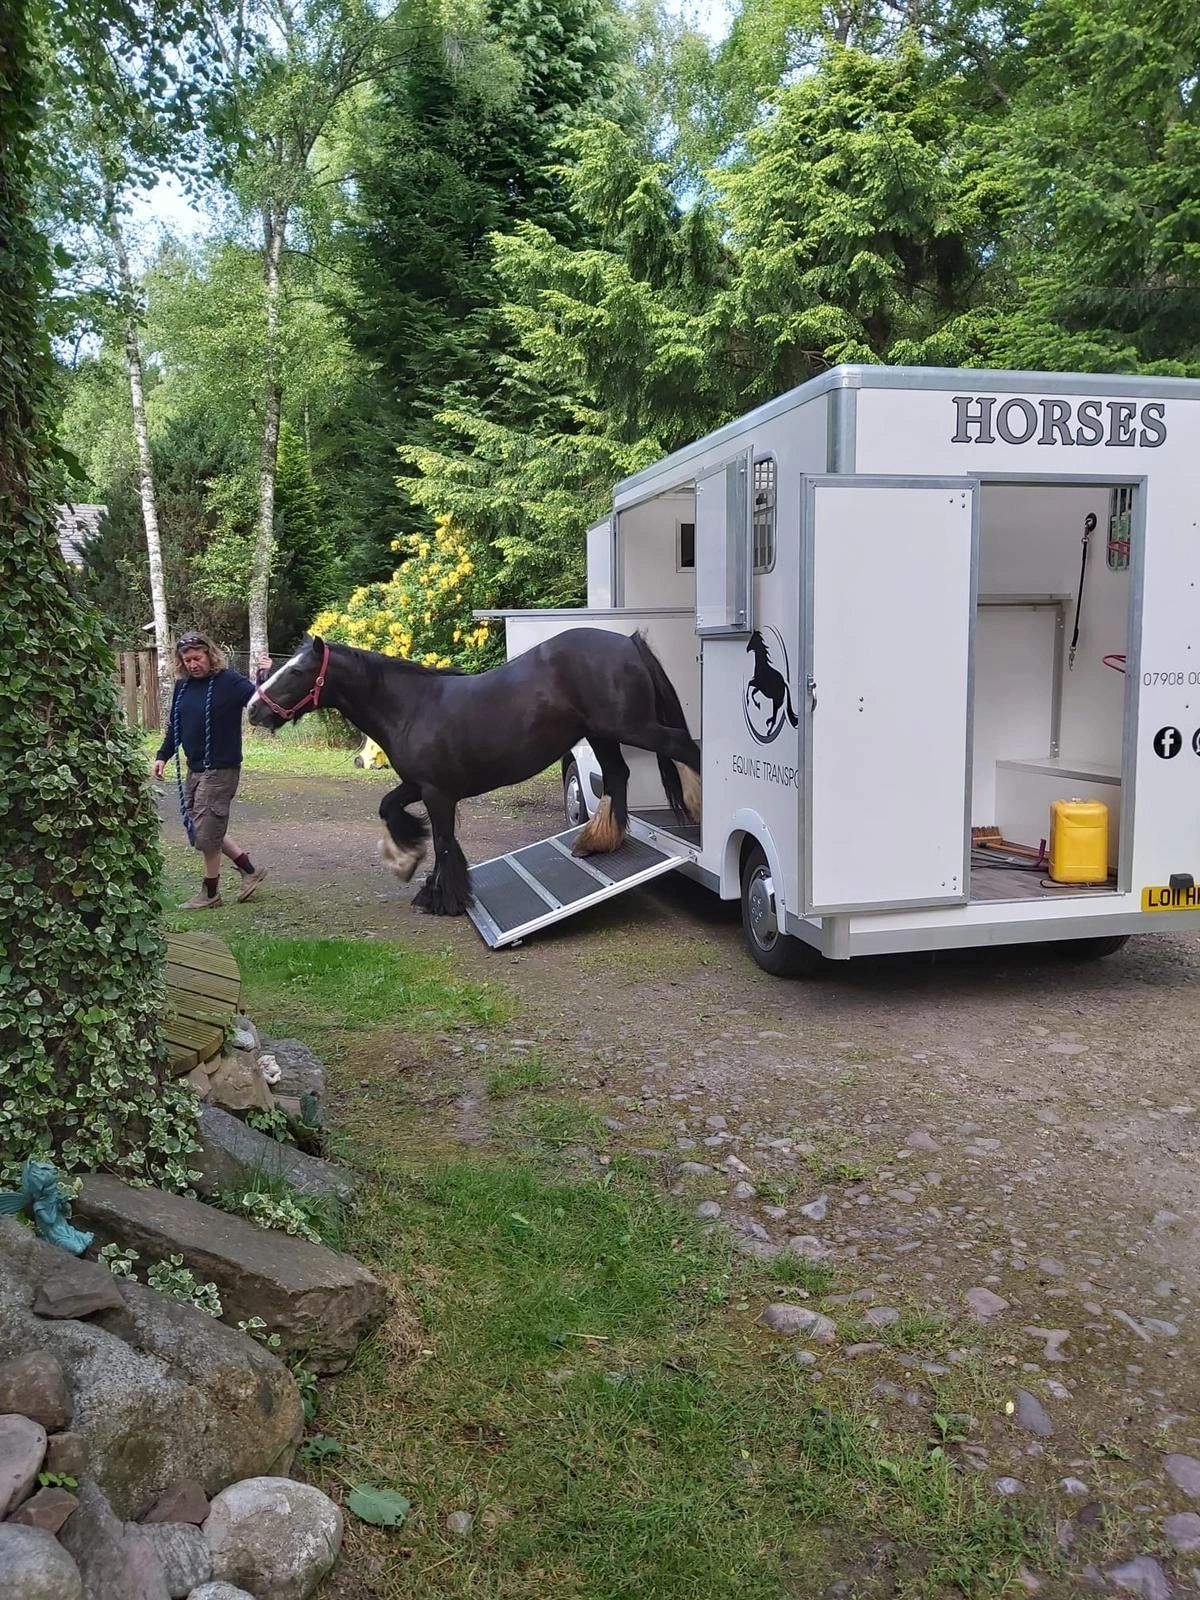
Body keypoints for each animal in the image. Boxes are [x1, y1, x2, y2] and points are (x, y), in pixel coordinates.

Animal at [247, 629, 702, 917]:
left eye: (296, 671)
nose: (252, 710)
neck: (410, 706)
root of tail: (627, 642)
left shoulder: (437, 793)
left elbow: (445, 842)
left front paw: (442, 898)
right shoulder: (417, 785)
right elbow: (389, 808)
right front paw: (407, 861)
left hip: (631, 728)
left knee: (684, 746)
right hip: (603, 733)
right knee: (618, 775)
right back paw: (600, 840)